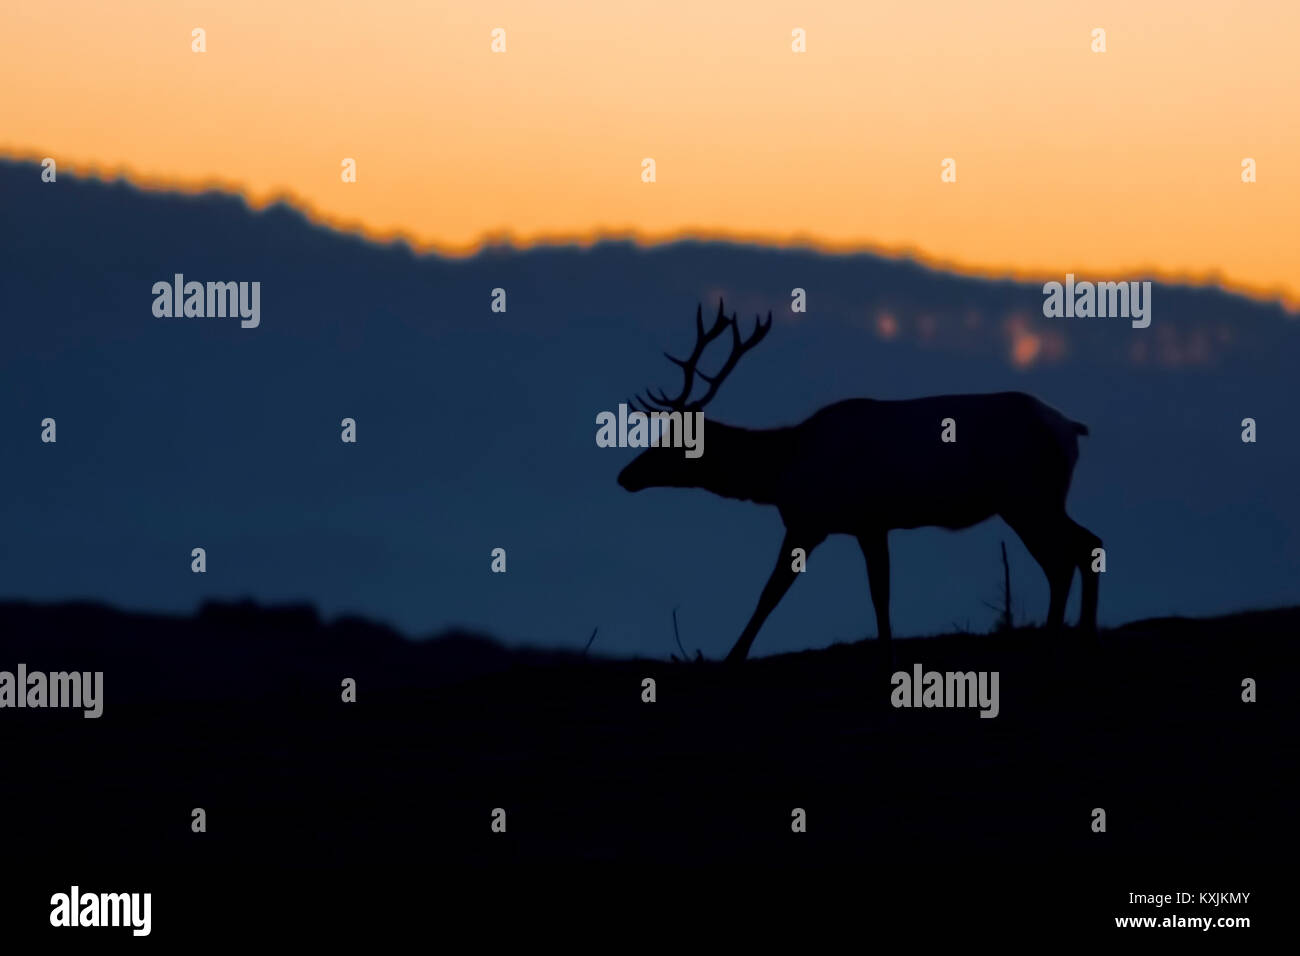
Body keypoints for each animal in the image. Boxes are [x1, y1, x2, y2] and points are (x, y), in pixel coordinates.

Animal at [613, 303, 1102, 660]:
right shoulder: (871, 524)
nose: (624, 475)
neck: (783, 469)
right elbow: (880, 593)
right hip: (1039, 500)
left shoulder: (813, 522)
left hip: (1027, 497)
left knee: (1066, 555)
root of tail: (1071, 429)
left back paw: (1060, 633)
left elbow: (771, 592)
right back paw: (1079, 631)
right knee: (1086, 543)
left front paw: (733, 655)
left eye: (671, 440)